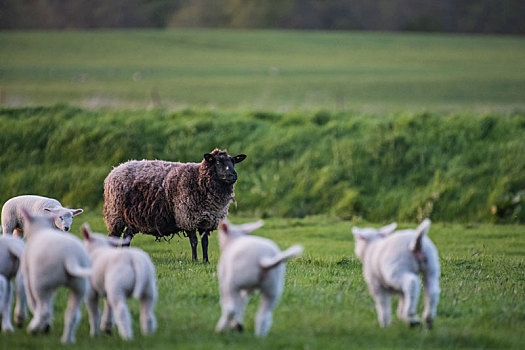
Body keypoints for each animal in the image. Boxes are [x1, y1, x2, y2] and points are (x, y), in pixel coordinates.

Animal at [20, 209, 91, 344]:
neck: (40, 230)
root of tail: (69, 256)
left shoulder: (29, 277)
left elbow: (33, 302)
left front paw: (44, 325)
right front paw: (46, 325)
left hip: (41, 281)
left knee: (44, 311)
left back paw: (33, 329)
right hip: (79, 285)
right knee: (73, 314)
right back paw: (67, 340)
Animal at [105, 148, 249, 262]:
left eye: (233, 162)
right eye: (218, 162)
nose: (233, 175)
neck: (198, 179)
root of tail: (115, 169)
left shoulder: (207, 220)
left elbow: (205, 242)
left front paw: (206, 261)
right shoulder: (187, 217)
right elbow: (194, 241)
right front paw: (195, 260)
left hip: (132, 218)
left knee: (126, 236)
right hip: (114, 215)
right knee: (114, 237)